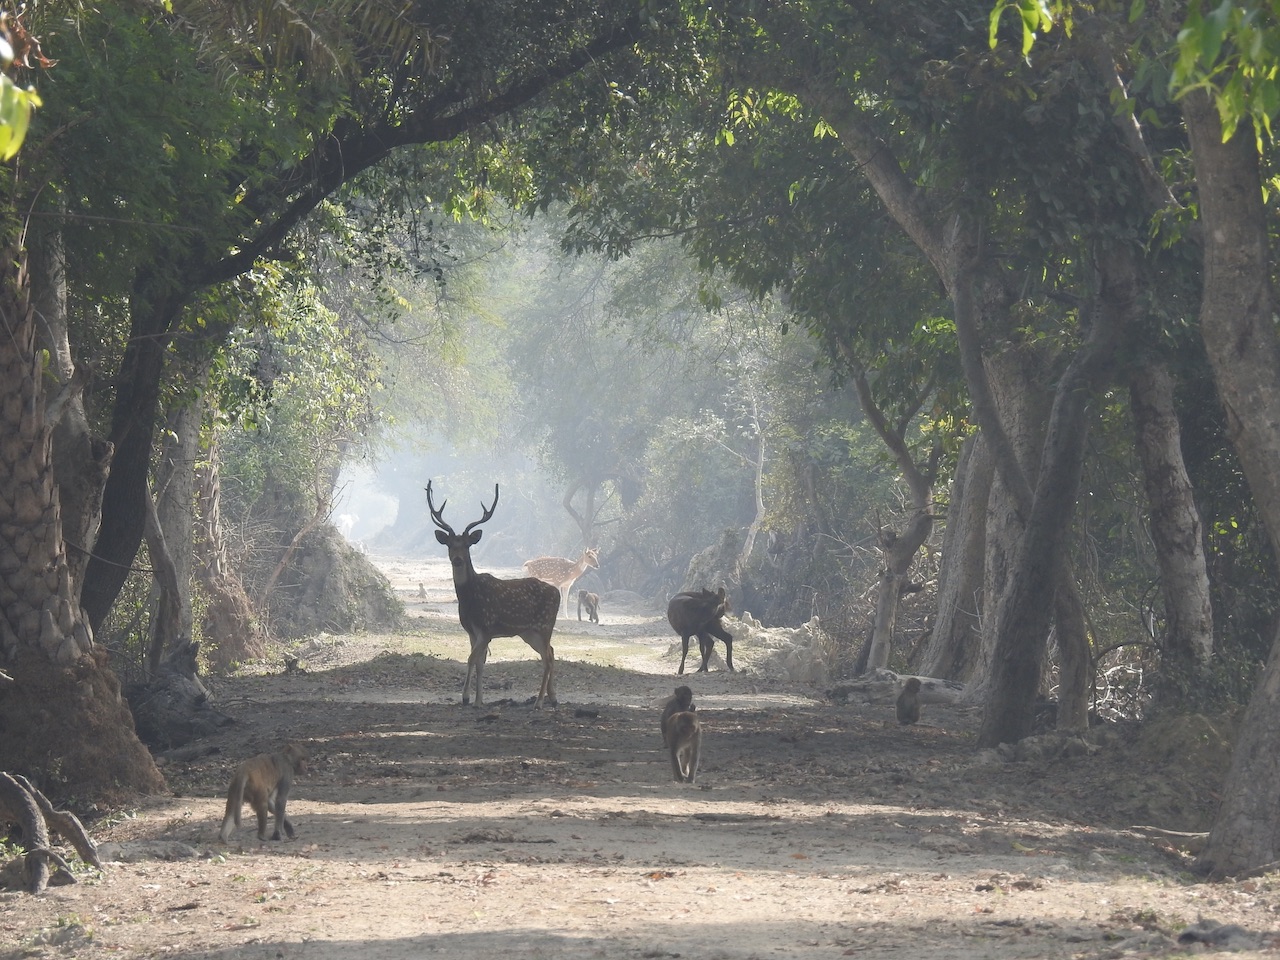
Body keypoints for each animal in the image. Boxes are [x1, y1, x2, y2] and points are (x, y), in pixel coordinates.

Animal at [424, 483, 560, 711]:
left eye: (467, 545)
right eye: (450, 544)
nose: (458, 559)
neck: (470, 600)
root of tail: (557, 592)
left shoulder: (487, 628)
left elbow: (471, 659)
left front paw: (466, 697)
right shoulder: (471, 631)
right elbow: (479, 663)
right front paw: (478, 700)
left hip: (544, 624)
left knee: (548, 657)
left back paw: (539, 701)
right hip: (529, 632)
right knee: (549, 651)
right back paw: (553, 697)